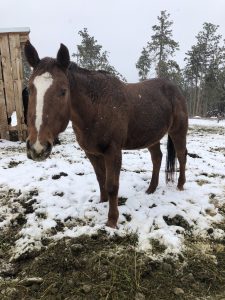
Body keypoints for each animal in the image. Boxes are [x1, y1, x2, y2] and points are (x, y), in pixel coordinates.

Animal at [23, 40, 188, 227]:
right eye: (29, 89)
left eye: (63, 91)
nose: (37, 147)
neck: (97, 108)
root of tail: (175, 88)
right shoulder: (92, 152)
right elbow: (100, 178)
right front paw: (102, 202)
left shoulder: (113, 152)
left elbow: (112, 185)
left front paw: (112, 221)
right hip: (151, 137)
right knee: (157, 158)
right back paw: (151, 189)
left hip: (178, 131)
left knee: (181, 155)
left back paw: (180, 185)